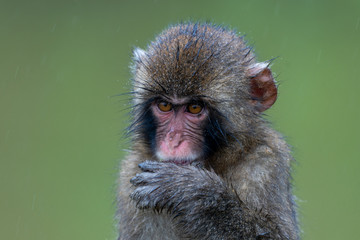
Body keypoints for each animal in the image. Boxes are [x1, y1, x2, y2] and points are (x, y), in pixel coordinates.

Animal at [116, 21, 300, 239]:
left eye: (194, 107)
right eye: (164, 105)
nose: (173, 140)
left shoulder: (268, 160)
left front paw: (189, 190)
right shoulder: (129, 171)